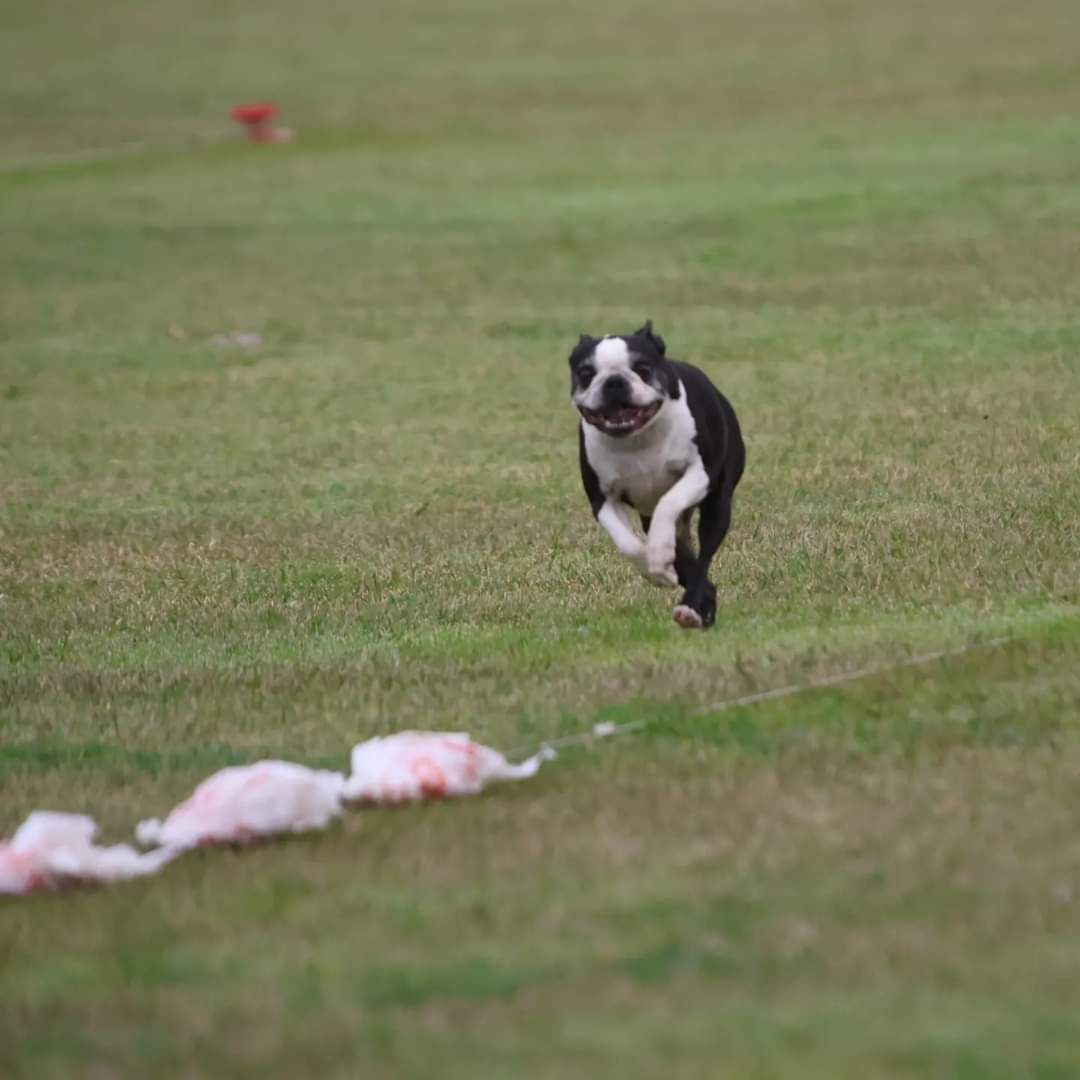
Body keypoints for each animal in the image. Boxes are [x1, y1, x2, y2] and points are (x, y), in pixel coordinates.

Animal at [574, 319, 743, 630]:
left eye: (643, 369)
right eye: (585, 374)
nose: (614, 381)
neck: (638, 438)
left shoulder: (699, 474)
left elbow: (668, 502)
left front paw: (659, 552)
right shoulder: (602, 500)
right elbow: (628, 543)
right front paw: (654, 567)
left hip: (718, 503)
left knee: (704, 555)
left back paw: (690, 608)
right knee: (690, 566)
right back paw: (701, 609)